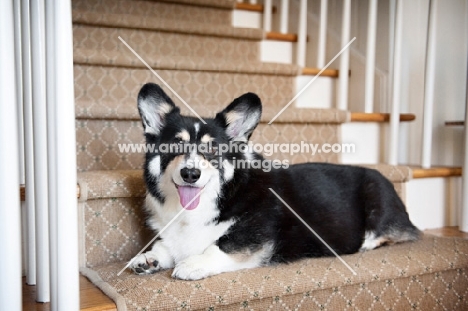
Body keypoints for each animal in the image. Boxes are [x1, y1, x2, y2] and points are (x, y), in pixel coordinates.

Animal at [129, 84, 420, 282]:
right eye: (175, 145)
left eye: (212, 149)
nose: (190, 173)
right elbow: (165, 245)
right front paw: (147, 258)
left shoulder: (254, 240)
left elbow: (221, 246)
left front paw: (191, 263)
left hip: (376, 197)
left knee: (397, 233)